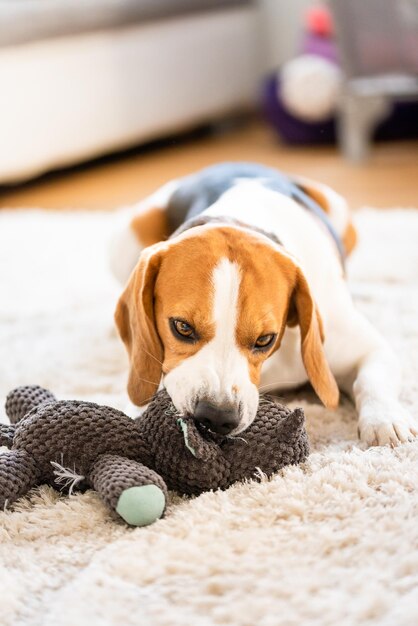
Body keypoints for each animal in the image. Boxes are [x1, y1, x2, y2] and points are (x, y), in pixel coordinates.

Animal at [110, 161, 414, 444]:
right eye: (182, 327)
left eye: (265, 340)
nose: (216, 417)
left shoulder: (367, 348)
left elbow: (371, 379)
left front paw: (385, 420)